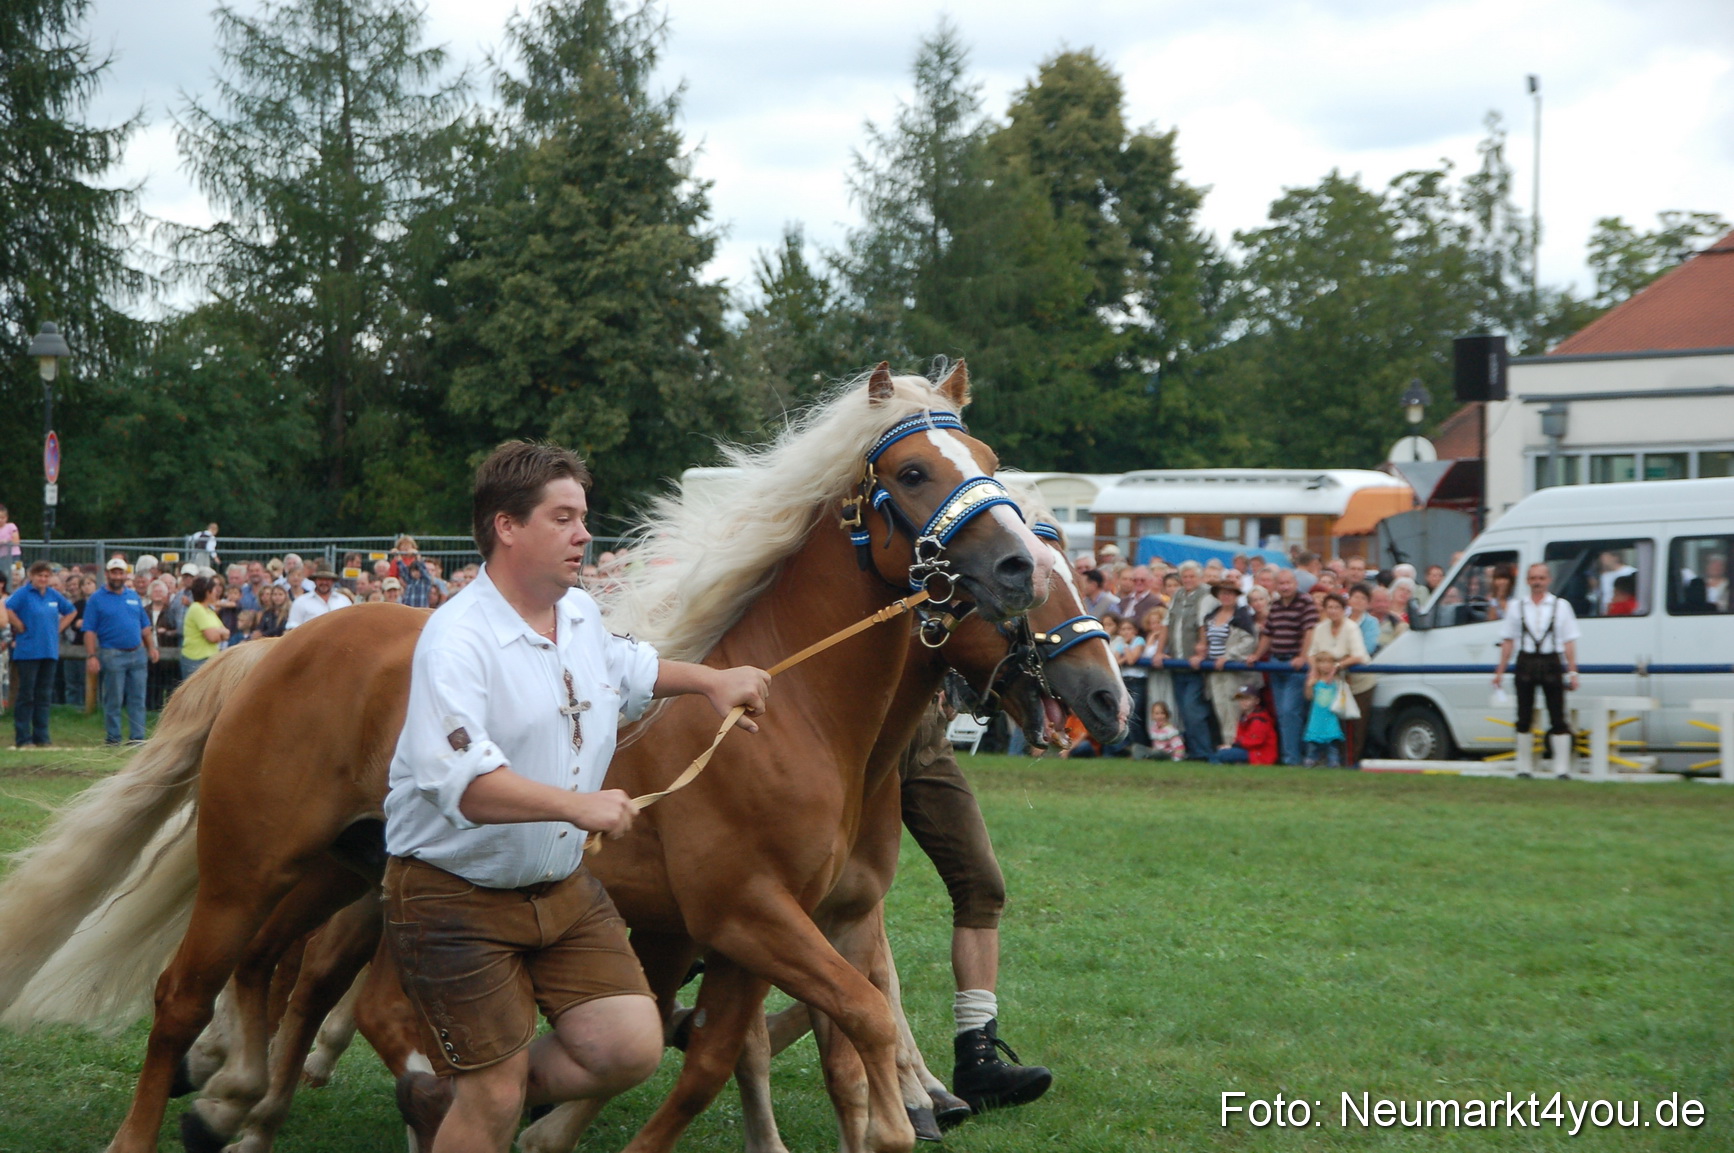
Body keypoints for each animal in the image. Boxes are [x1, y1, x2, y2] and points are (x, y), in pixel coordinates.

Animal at [0, 362, 1049, 1153]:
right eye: (910, 470)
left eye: (991, 463)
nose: (1022, 568)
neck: (789, 710)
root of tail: (273, 651)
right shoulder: (749, 911)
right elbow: (842, 1021)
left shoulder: (773, 924)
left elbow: (729, 1051)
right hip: (247, 864)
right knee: (192, 992)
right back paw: (191, 1113)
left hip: (344, 867)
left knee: (280, 975)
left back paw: (252, 1097)